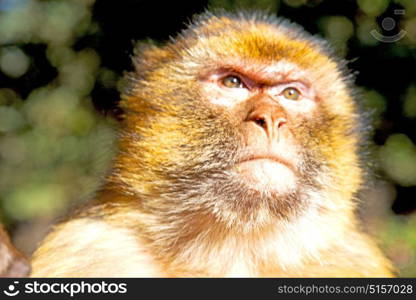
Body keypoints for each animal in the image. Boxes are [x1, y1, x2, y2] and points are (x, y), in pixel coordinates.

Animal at [29, 11, 394, 278]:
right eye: (233, 82)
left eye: (291, 94)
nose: (270, 118)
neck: (234, 245)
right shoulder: (87, 247)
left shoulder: (353, 260)